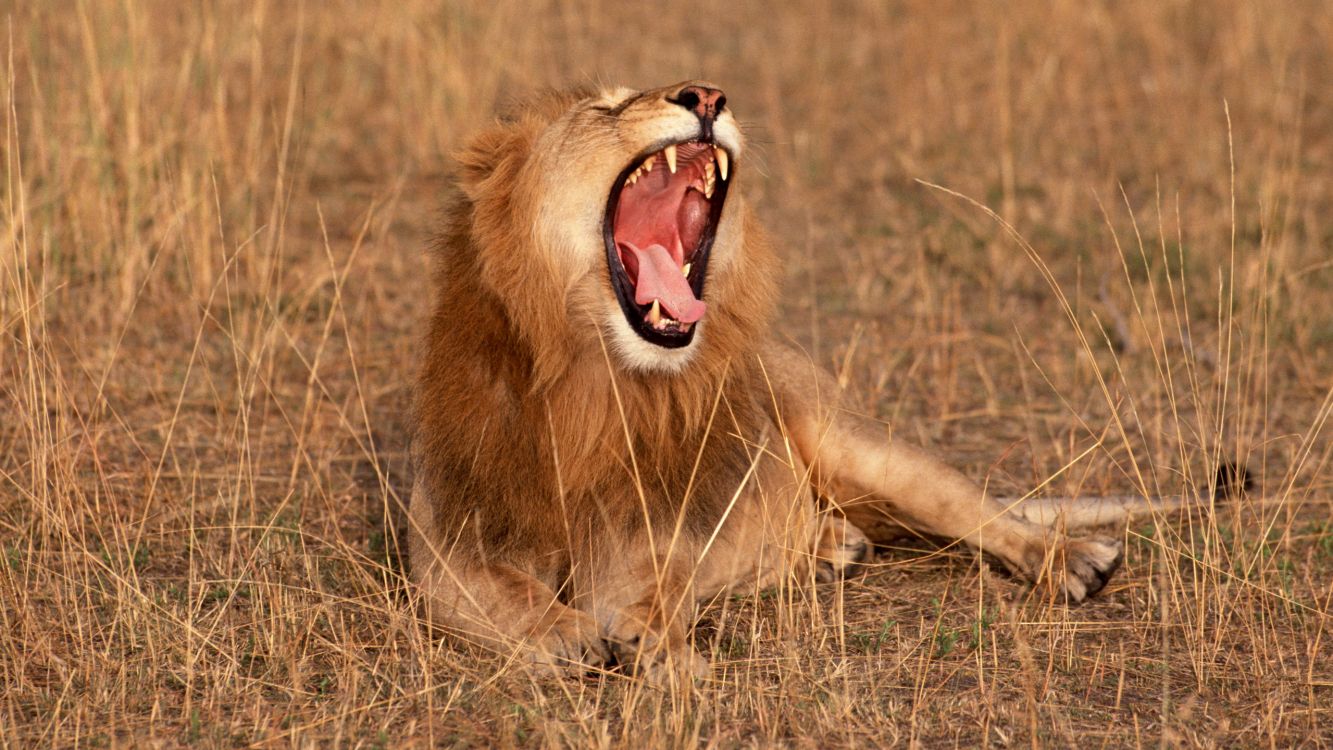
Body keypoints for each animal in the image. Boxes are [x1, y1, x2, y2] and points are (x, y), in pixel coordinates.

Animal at [410, 79, 1221, 682]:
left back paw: (1073, 561)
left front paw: (659, 644)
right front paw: (561, 630)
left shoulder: (653, 530)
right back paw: (834, 547)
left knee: (984, 511)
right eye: (605, 106)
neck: (593, 378)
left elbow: (656, 587)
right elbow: (494, 591)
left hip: (859, 445)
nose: (707, 94)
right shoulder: (448, 540)